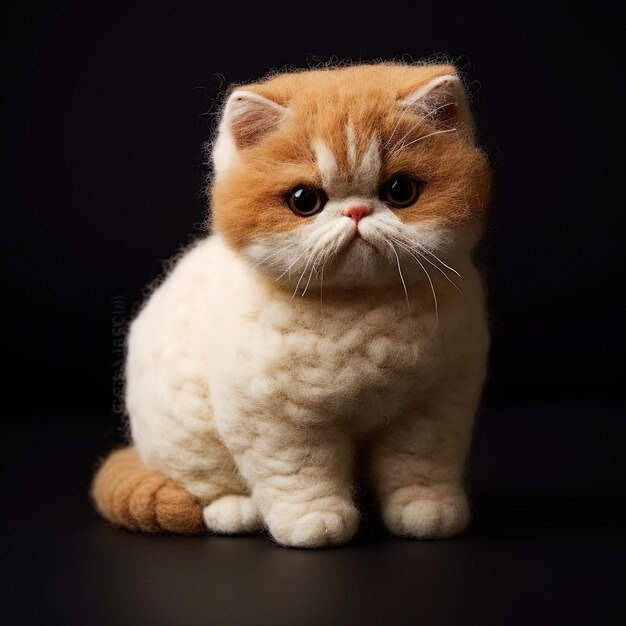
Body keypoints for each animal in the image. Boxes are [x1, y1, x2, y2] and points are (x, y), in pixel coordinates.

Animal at [94, 61, 492, 544]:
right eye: (305, 200)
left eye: (400, 191)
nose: (356, 211)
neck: (357, 311)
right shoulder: (278, 423)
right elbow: (299, 477)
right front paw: (313, 522)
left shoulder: (432, 407)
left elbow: (421, 467)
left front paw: (427, 510)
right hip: (189, 433)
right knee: (210, 485)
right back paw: (236, 511)